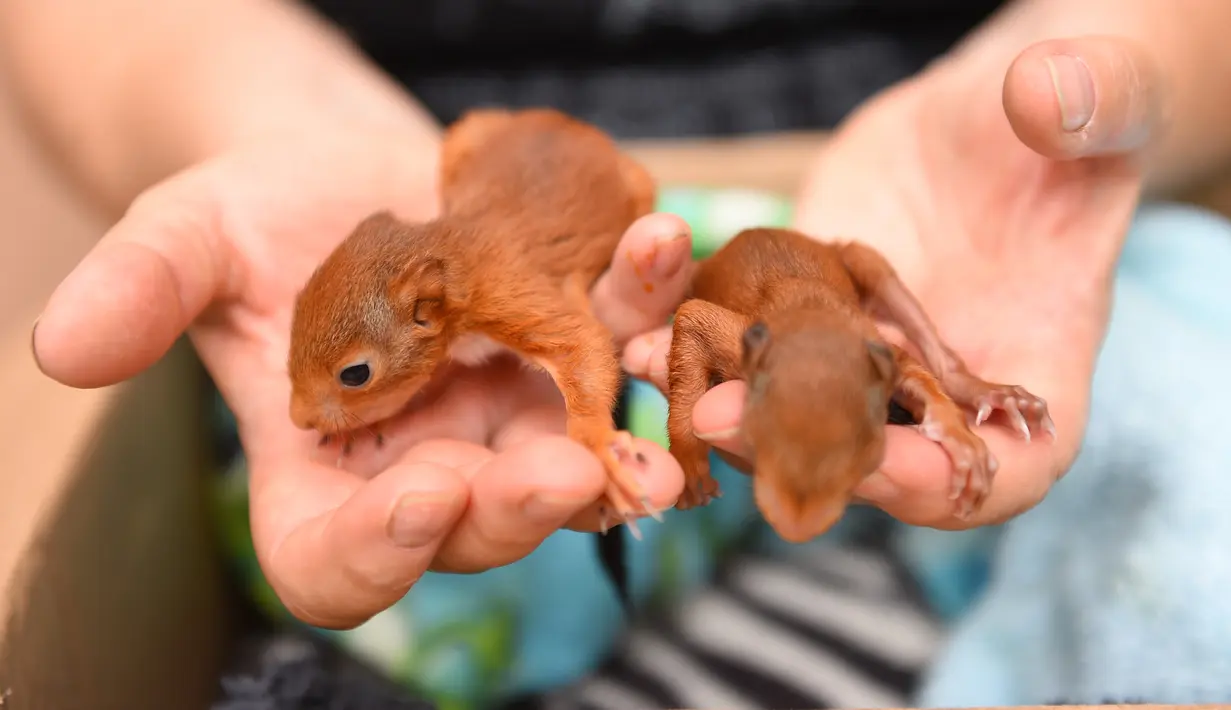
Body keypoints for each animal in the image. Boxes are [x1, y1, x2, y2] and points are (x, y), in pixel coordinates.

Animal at [285, 108, 664, 531]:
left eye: (355, 374)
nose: (299, 419)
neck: (455, 255)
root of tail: (568, 123)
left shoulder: (507, 296)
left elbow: (581, 340)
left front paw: (597, 446)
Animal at [669, 226, 1053, 541]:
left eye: (869, 456)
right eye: (754, 438)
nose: (796, 529)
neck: (814, 312)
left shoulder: (879, 347)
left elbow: (919, 376)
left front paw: (960, 439)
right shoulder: (741, 342)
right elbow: (691, 318)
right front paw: (689, 465)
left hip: (862, 262)